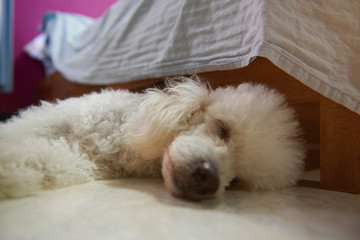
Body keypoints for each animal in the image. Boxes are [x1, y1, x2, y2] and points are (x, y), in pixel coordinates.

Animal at [0, 78, 304, 200]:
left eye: (237, 179)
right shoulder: (54, 119)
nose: (208, 178)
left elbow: (45, 158)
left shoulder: (81, 163)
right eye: (222, 129)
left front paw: (12, 171)